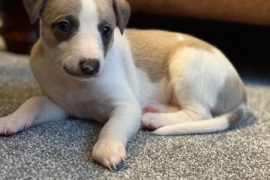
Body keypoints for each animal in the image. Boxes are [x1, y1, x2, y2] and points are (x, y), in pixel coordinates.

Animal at [0, 0, 247, 169]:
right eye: (63, 26)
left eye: (106, 30)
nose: (91, 66)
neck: (77, 84)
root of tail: (242, 93)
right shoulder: (59, 105)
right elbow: (32, 103)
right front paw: (10, 120)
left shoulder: (125, 106)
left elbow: (113, 126)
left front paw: (108, 147)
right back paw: (156, 110)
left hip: (185, 60)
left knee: (199, 113)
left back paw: (155, 118)